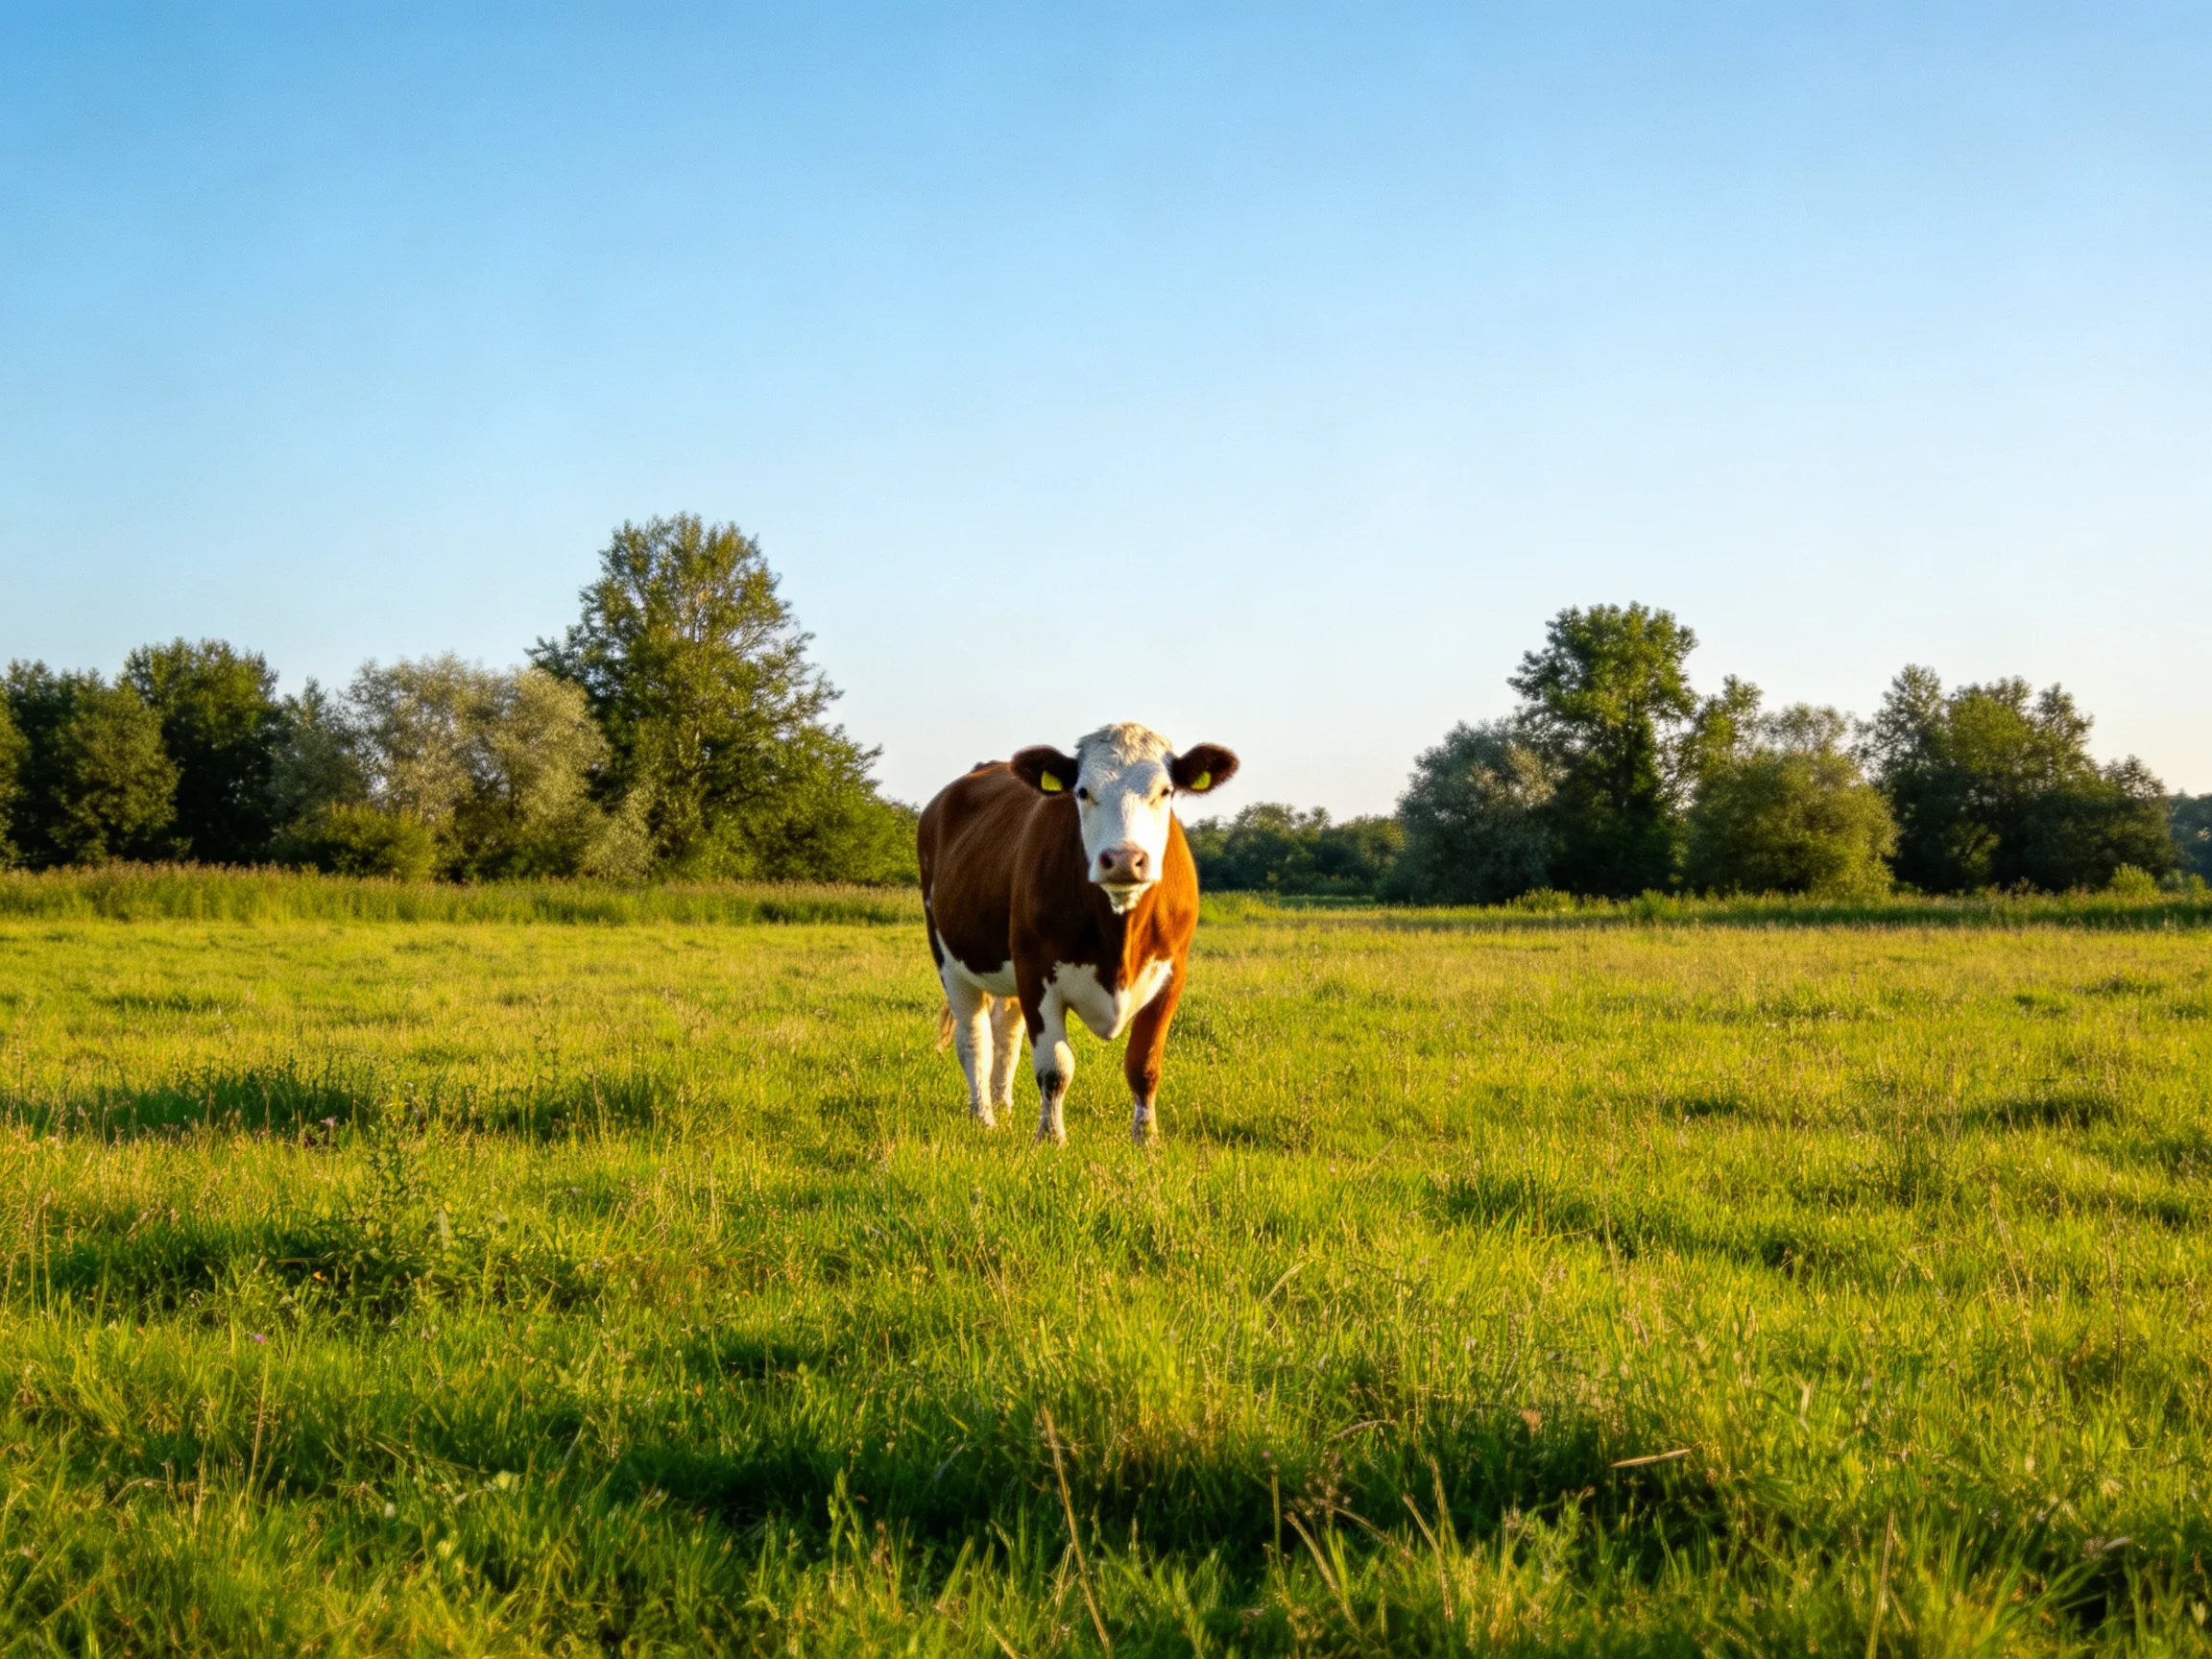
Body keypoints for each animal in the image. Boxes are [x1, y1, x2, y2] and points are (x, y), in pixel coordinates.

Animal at [917, 723, 1238, 1144]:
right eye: (1082, 791)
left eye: (1165, 791)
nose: (1124, 859)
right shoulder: (1035, 971)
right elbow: (1055, 1067)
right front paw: (1051, 1138)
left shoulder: (1172, 973)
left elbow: (1144, 1063)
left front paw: (1146, 1138)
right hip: (949, 959)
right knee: (975, 1041)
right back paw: (984, 1116)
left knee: (1006, 1035)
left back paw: (1003, 1106)